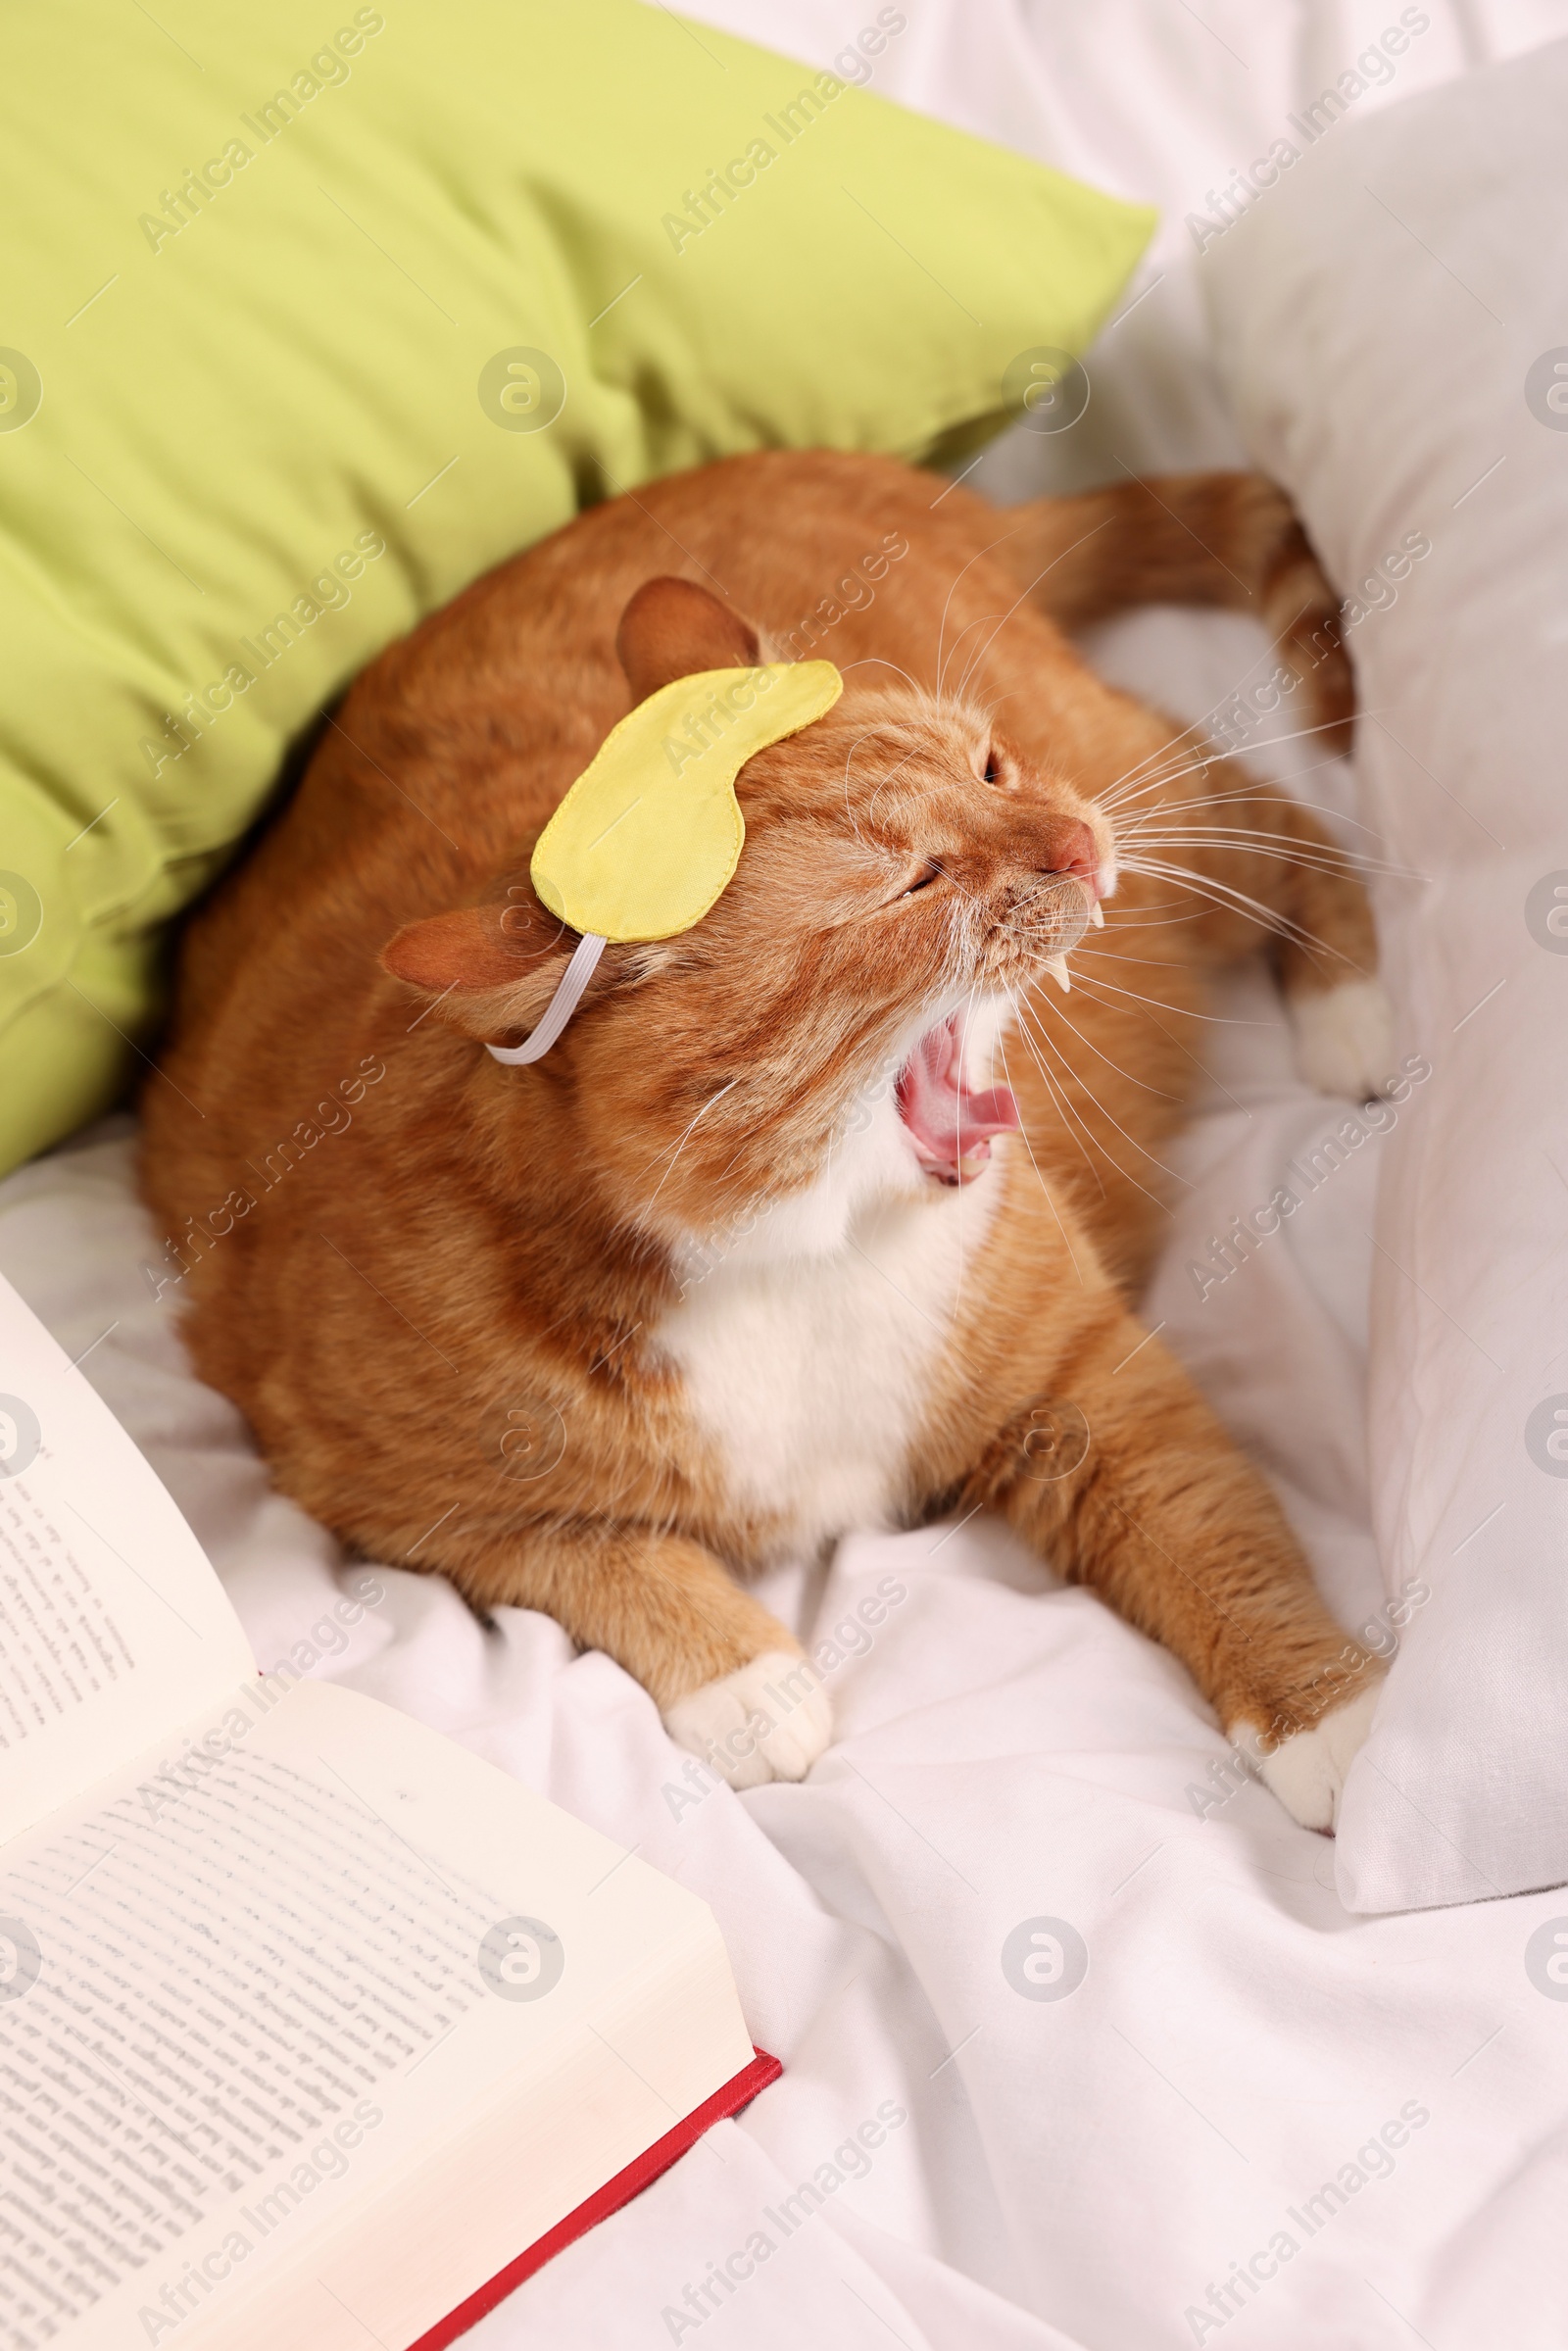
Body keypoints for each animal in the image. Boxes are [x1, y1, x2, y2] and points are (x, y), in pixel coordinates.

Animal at [143, 449, 1400, 1824]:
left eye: (991, 769)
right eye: (913, 884)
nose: (1075, 846)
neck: (804, 1258)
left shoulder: (1086, 1383)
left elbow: (1214, 1534)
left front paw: (1330, 1712)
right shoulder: (363, 1476)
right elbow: (577, 1549)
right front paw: (746, 1680)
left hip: (1156, 815)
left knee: (1284, 820)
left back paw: (1349, 1007)